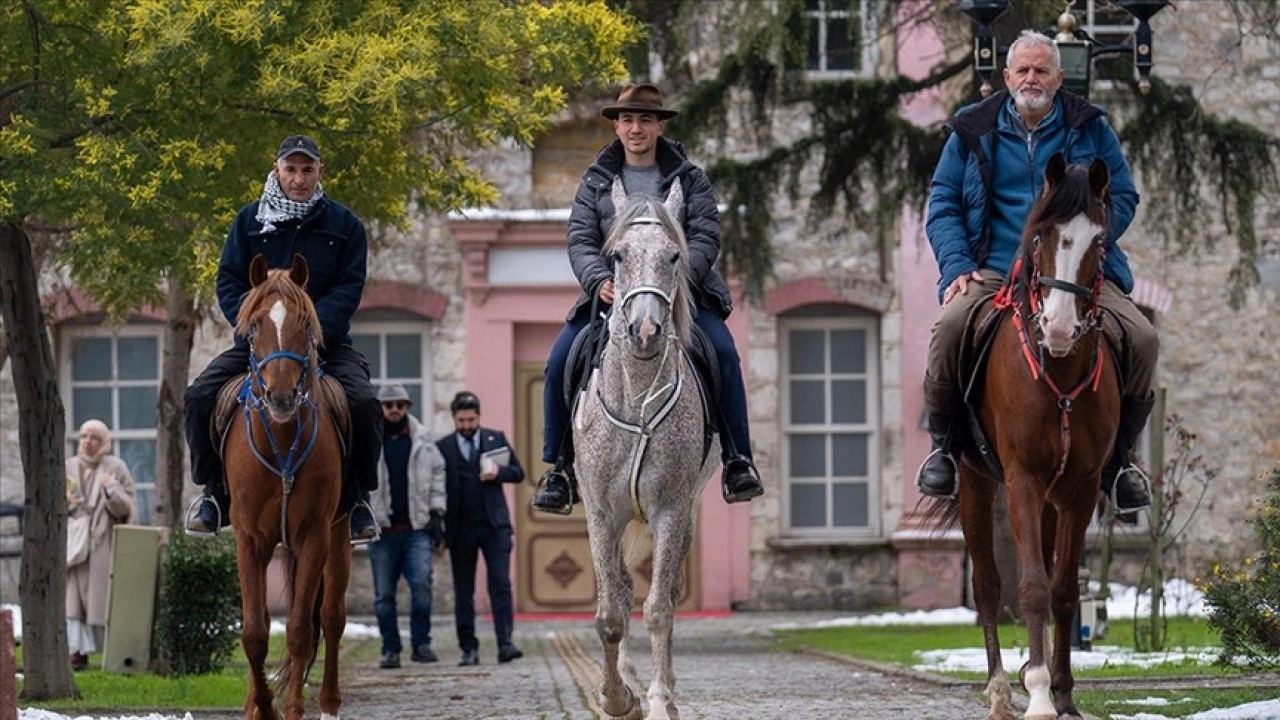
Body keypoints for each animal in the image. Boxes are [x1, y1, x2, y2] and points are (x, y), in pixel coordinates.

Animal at [226, 253, 353, 717]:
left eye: (304, 322)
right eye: (255, 324)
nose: (280, 397)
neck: (281, 442)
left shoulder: (314, 533)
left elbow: (299, 630)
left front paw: (294, 707)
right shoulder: (249, 539)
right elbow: (254, 632)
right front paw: (261, 706)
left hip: (339, 534)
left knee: (331, 617)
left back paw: (329, 704)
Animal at [942, 152, 1121, 717]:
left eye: (1099, 242)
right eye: (1040, 236)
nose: (1059, 328)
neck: (1058, 372)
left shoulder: (1081, 488)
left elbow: (1063, 590)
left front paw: (1062, 693)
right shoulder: (1021, 480)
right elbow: (1032, 587)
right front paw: (1039, 695)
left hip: (1050, 497)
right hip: (977, 483)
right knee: (986, 583)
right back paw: (1002, 689)